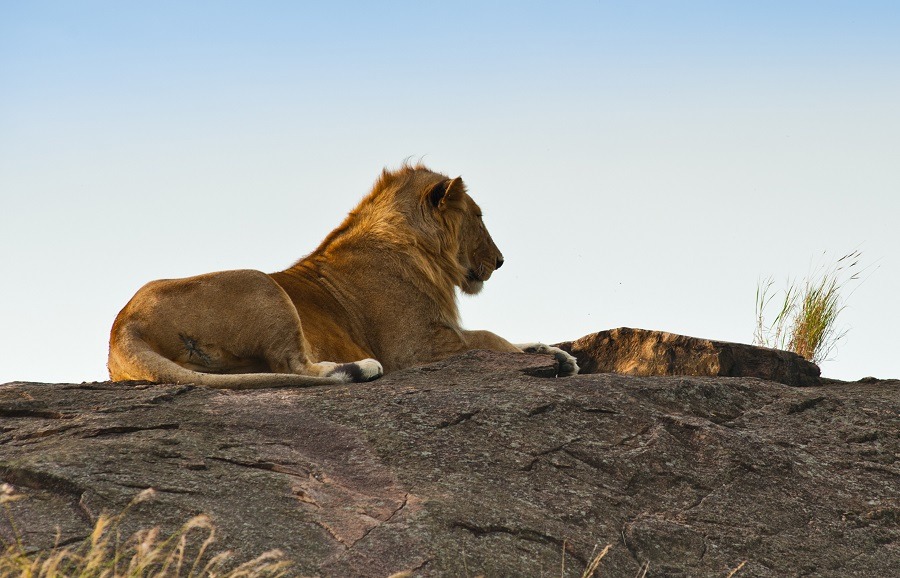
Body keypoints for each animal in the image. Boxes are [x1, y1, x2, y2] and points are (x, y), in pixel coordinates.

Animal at [107, 162, 584, 388]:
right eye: (479, 216)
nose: (501, 261)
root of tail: (122, 326)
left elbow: (506, 338)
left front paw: (552, 352)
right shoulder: (417, 347)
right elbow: (488, 337)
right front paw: (554, 358)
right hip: (260, 282)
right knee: (295, 365)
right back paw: (360, 368)